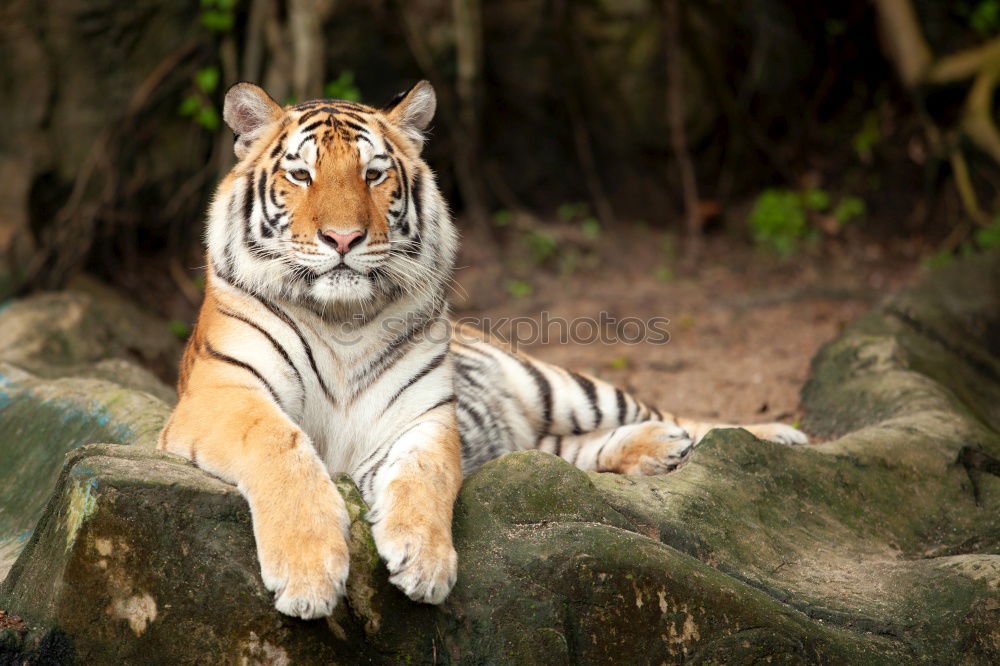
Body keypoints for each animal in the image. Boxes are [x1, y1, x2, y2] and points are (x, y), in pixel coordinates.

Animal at [158, 80, 812, 620]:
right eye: (301, 176)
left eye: (373, 175)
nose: (344, 238)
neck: (342, 319)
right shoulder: (223, 394)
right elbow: (282, 448)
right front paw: (310, 573)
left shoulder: (421, 418)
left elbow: (425, 477)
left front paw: (424, 562)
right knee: (563, 453)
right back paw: (659, 451)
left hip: (561, 387)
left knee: (665, 415)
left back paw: (770, 437)